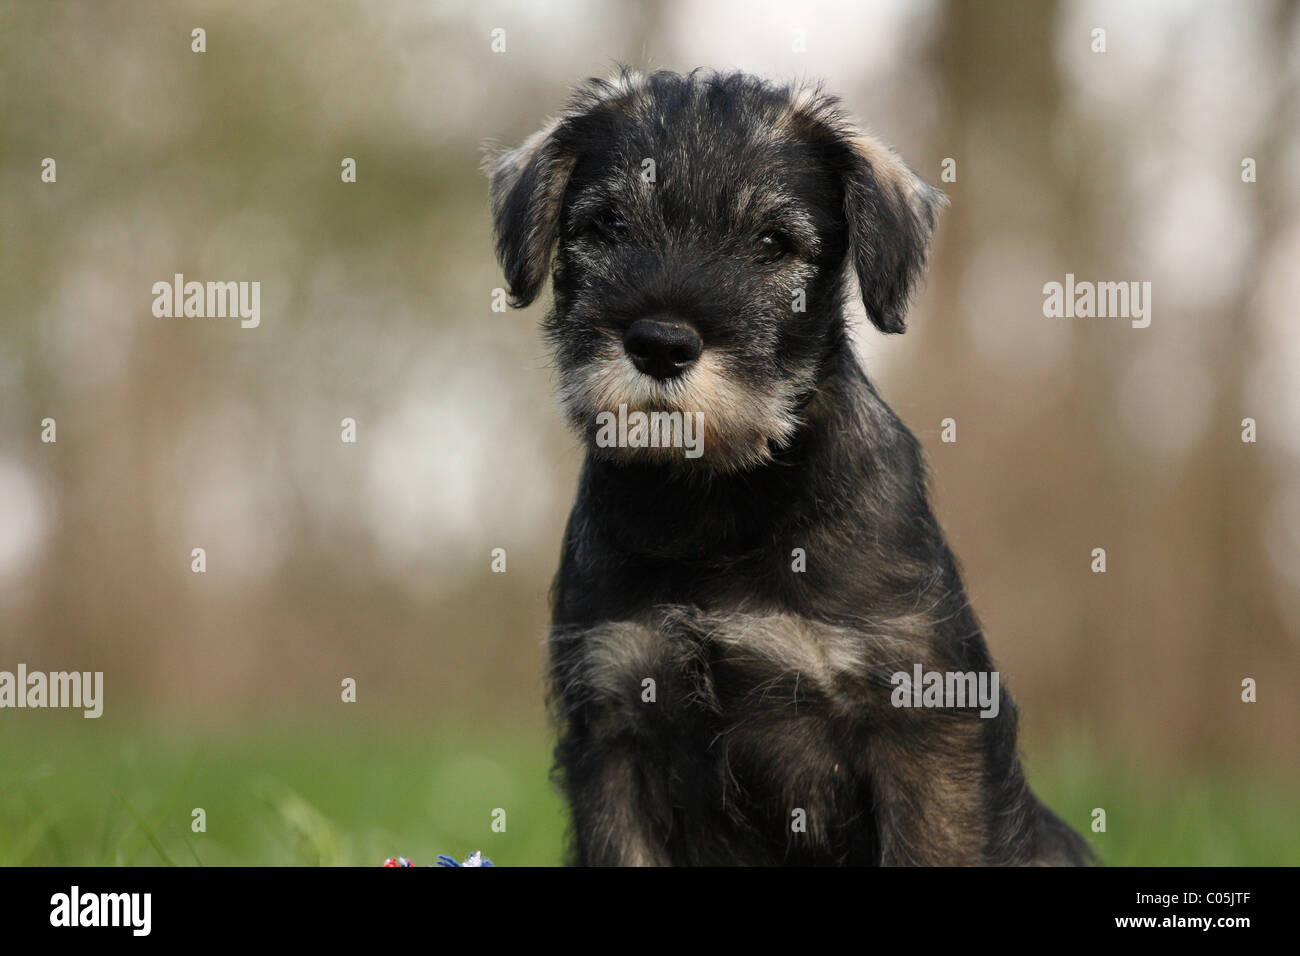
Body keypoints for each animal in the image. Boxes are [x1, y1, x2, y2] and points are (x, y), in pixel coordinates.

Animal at [488, 69, 1097, 868]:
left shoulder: (923, 727)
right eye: (607, 225)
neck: (716, 502)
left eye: (774, 243)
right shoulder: (615, 724)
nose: (660, 343)